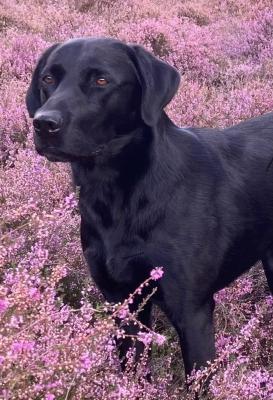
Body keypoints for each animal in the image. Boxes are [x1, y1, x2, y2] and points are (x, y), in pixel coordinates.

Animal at [26, 37, 273, 378]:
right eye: (48, 78)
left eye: (101, 81)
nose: (43, 123)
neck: (119, 196)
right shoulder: (124, 303)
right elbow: (133, 375)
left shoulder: (192, 311)